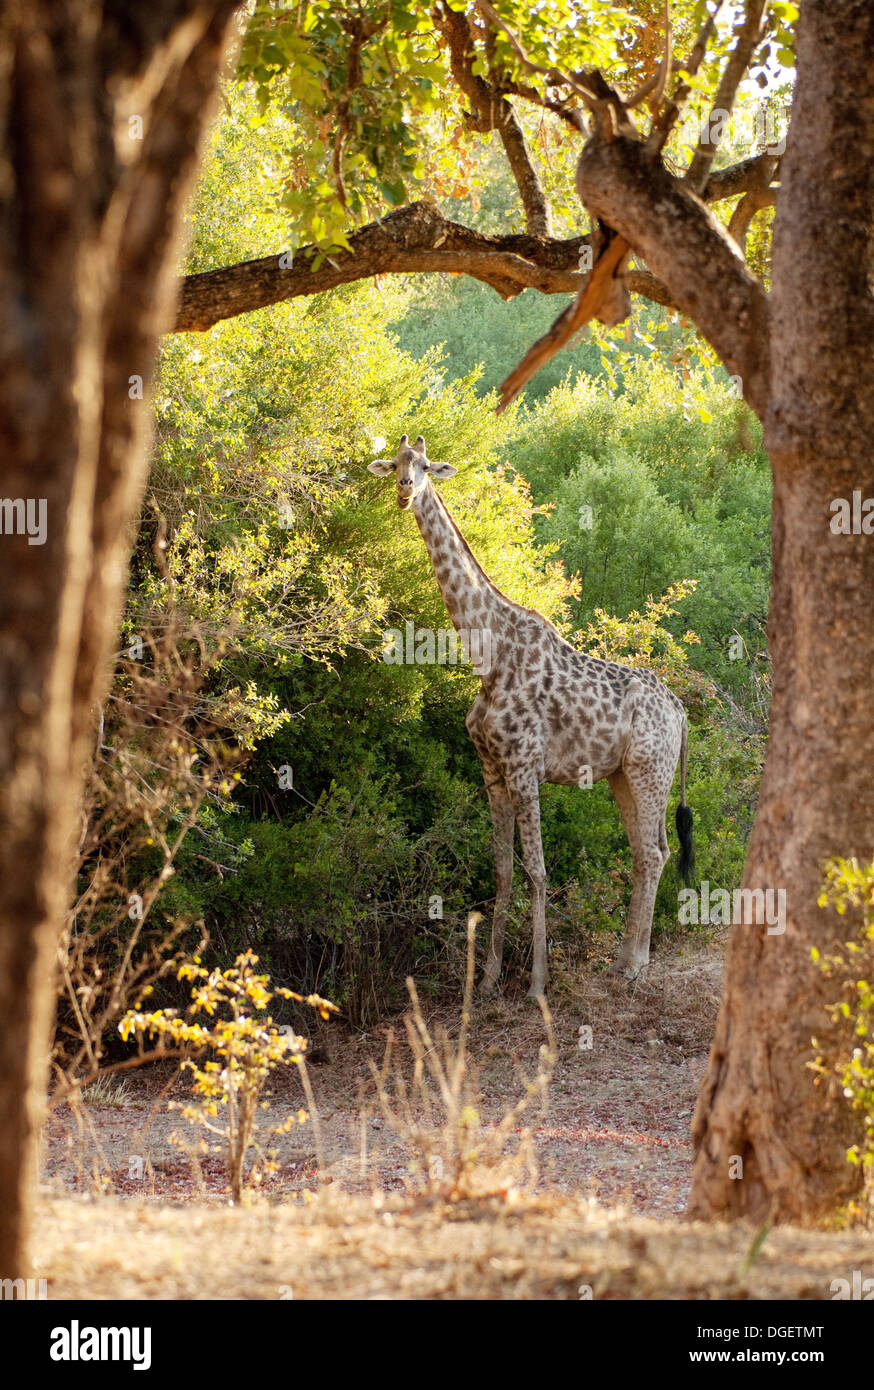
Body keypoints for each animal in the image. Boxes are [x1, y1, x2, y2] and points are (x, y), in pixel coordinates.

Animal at [364, 428, 691, 995]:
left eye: (426, 465)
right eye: (397, 464)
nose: (405, 489)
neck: (486, 656)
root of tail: (680, 712)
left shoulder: (524, 767)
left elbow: (538, 870)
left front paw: (537, 982)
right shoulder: (492, 770)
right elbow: (502, 870)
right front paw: (489, 979)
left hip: (651, 770)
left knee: (651, 853)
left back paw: (635, 966)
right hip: (623, 775)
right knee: (648, 852)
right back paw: (622, 962)